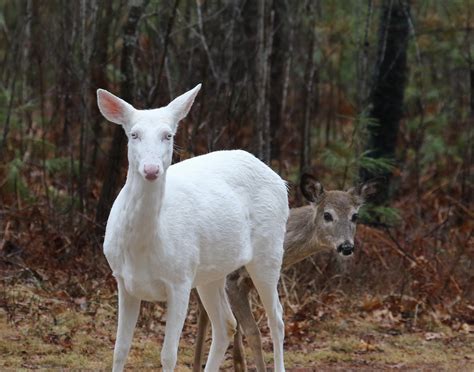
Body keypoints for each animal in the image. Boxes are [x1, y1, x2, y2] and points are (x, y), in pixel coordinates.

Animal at [96, 84, 288, 372]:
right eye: (133, 134)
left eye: (168, 135)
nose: (151, 169)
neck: (144, 246)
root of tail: (281, 181)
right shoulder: (122, 279)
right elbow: (119, 349)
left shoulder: (180, 280)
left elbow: (168, 354)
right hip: (211, 271)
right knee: (226, 325)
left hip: (269, 249)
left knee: (276, 318)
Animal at [192, 174, 374, 372]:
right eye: (327, 215)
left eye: (355, 216)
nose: (346, 246)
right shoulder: (232, 280)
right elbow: (253, 332)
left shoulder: (246, 283)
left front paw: (240, 365)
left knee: (206, 314)